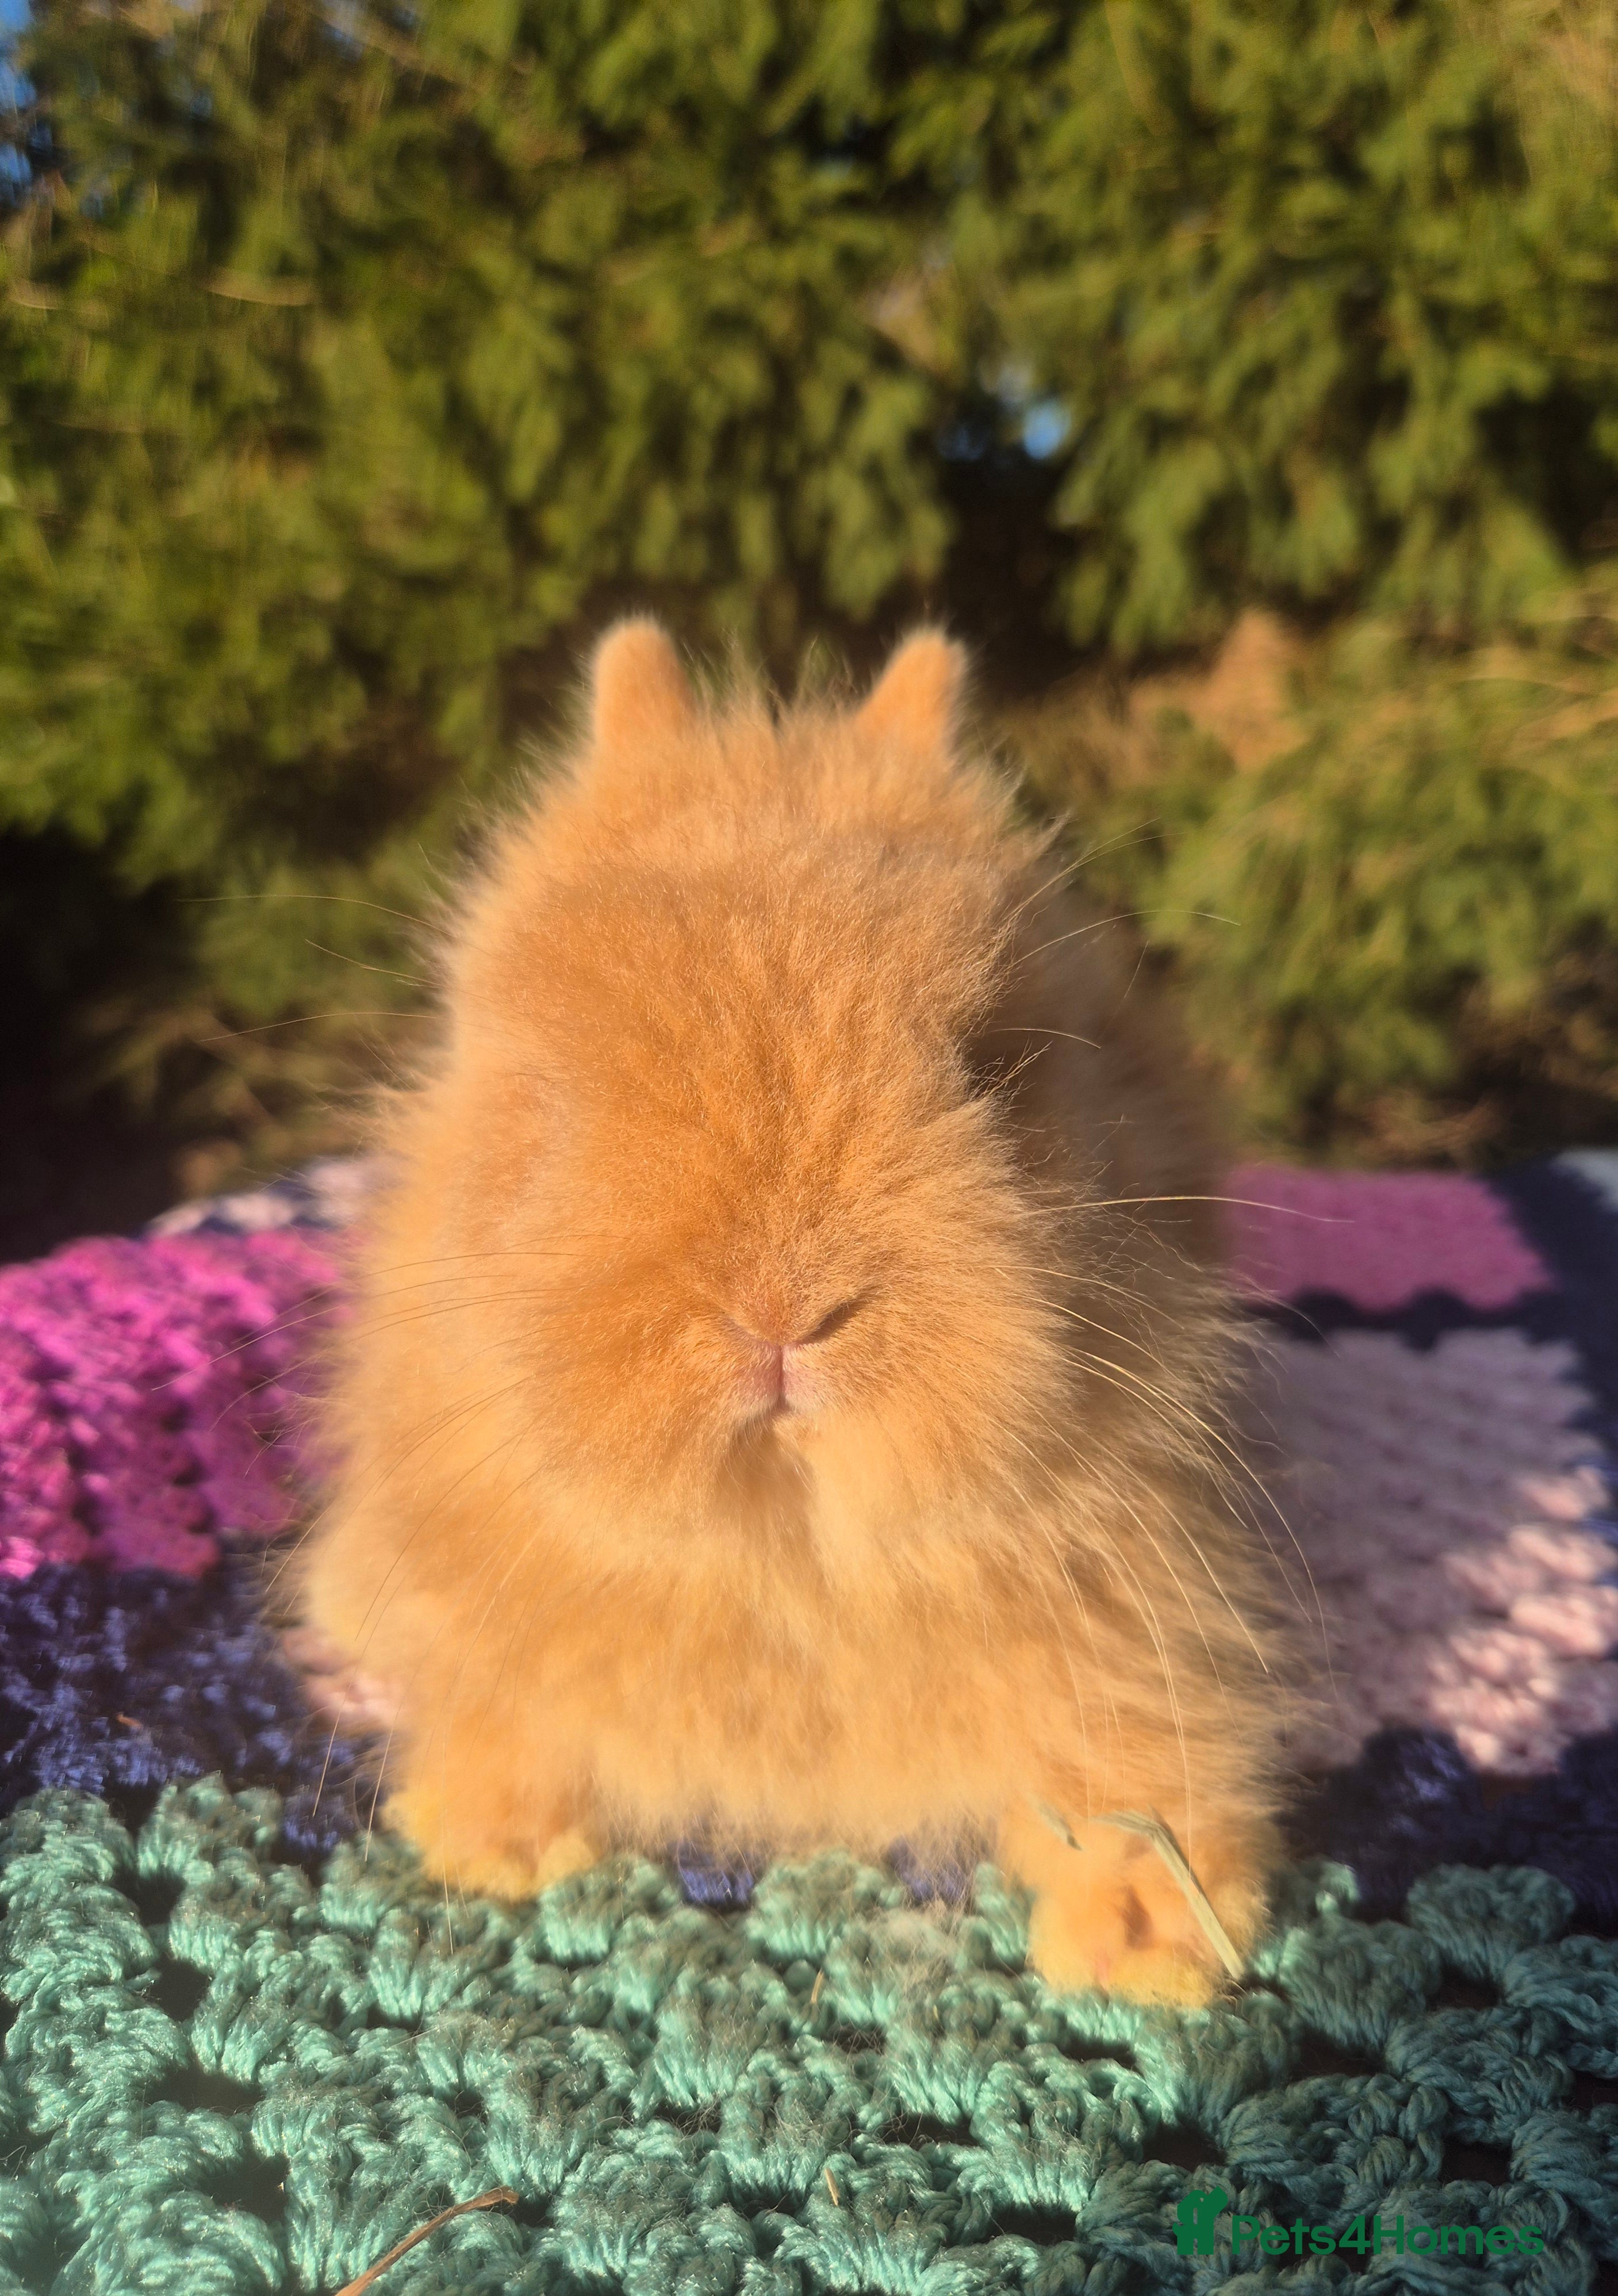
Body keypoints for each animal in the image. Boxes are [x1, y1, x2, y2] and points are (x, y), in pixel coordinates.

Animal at [300, 620, 1289, 2005]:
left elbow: (1138, 1760)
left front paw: (1151, 1944)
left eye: (992, 1066)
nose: (781, 1313)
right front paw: (492, 1846)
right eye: (546, 1090)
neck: (789, 1547)